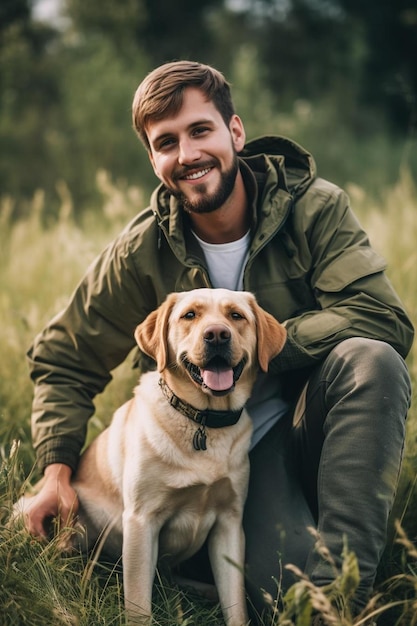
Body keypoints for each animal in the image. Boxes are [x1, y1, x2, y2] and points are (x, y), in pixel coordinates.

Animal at [13, 288, 286, 624]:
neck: (203, 421)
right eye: (189, 315)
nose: (217, 335)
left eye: (236, 316)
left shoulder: (230, 523)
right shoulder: (141, 521)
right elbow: (139, 604)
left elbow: (235, 601)